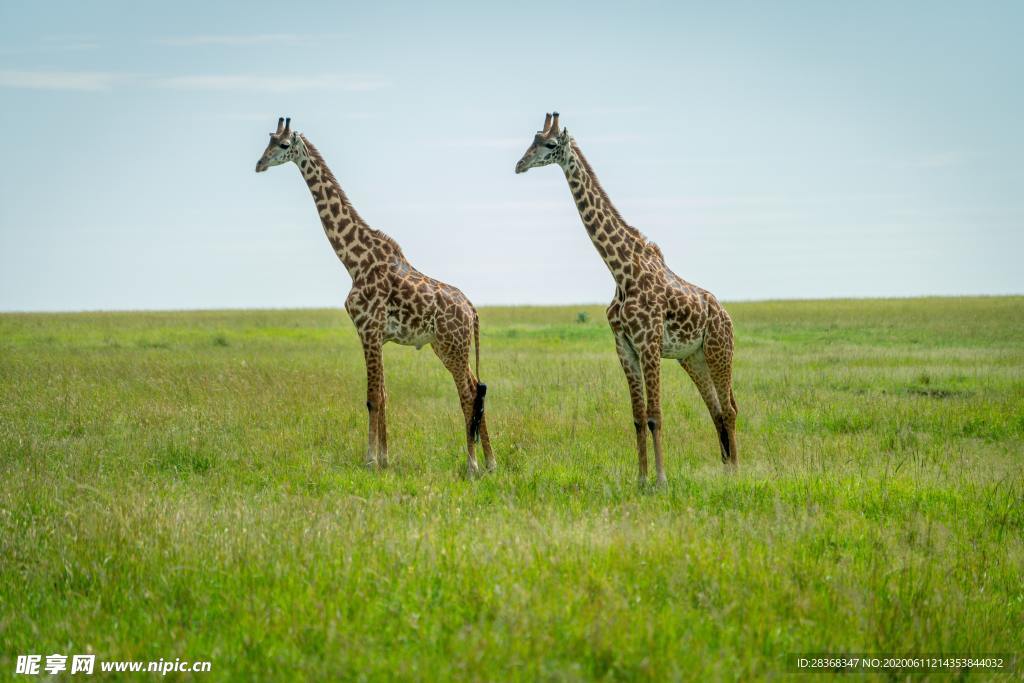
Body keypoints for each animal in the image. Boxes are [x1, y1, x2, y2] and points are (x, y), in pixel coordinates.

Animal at [256, 116, 495, 475]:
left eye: (283, 145)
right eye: (268, 141)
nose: (259, 164)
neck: (354, 261)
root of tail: (472, 310)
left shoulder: (368, 330)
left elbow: (371, 397)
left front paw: (369, 459)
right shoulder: (376, 336)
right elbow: (383, 396)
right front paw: (385, 459)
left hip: (451, 346)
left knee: (468, 394)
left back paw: (472, 465)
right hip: (450, 345)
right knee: (478, 388)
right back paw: (491, 462)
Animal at [520, 114, 737, 483]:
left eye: (549, 144)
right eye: (530, 142)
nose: (519, 165)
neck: (621, 272)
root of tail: (725, 315)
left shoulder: (648, 343)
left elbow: (655, 415)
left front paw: (661, 480)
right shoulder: (624, 346)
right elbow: (637, 417)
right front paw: (641, 479)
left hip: (719, 350)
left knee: (731, 408)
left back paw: (736, 471)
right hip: (693, 357)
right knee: (717, 410)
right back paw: (725, 471)